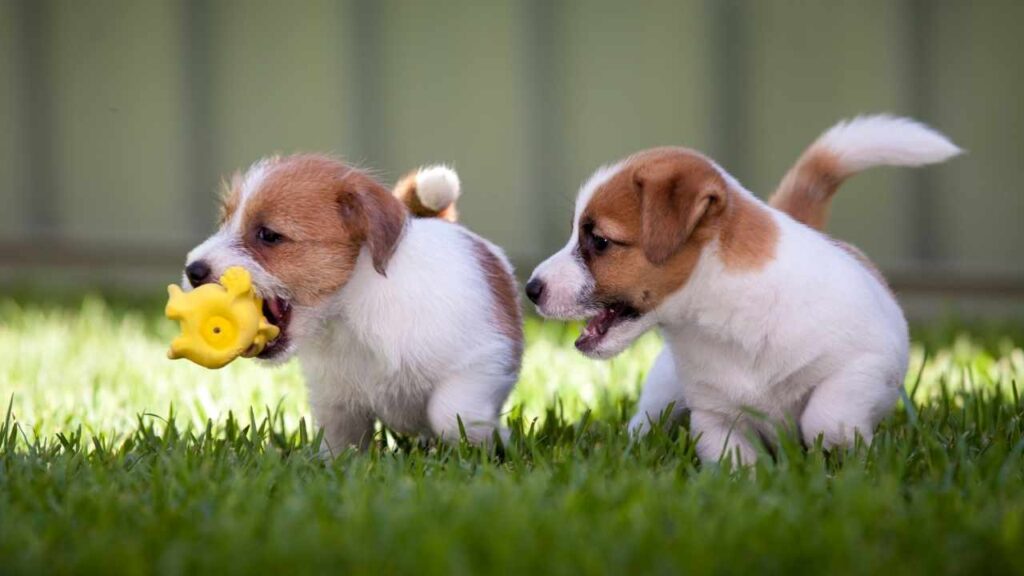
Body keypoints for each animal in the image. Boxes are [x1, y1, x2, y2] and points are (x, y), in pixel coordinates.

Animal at [180, 154, 524, 450]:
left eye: (268, 235)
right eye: (224, 223)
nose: (193, 270)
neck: (349, 314)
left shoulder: (483, 362)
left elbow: (451, 414)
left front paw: (495, 439)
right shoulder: (336, 402)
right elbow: (340, 443)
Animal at [528, 115, 958, 461]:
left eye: (599, 241)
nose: (531, 288)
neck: (724, 316)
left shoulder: (868, 364)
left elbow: (825, 418)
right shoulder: (716, 417)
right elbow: (736, 467)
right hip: (665, 387)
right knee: (646, 419)